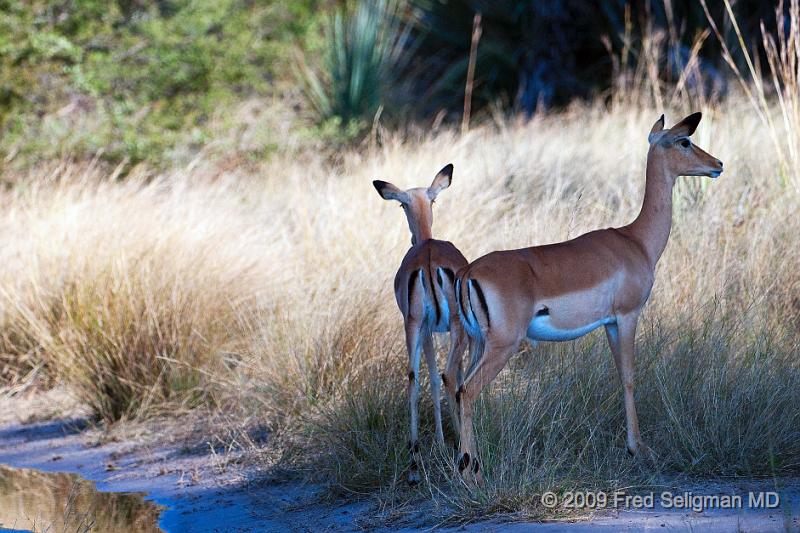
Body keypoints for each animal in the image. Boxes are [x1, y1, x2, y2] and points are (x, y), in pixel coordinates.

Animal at [374, 164, 468, 484]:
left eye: (432, 201)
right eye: (402, 204)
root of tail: (427, 257)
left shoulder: (426, 328)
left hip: (413, 326)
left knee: (413, 379)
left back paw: (415, 466)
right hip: (448, 326)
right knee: (447, 375)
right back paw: (459, 450)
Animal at [456, 113, 724, 482]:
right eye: (684, 141)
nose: (717, 164)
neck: (636, 241)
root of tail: (469, 272)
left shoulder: (609, 323)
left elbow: (620, 374)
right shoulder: (627, 315)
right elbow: (630, 377)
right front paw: (639, 449)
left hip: (477, 343)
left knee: (456, 388)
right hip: (502, 345)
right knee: (468, 392)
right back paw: (472, 474)